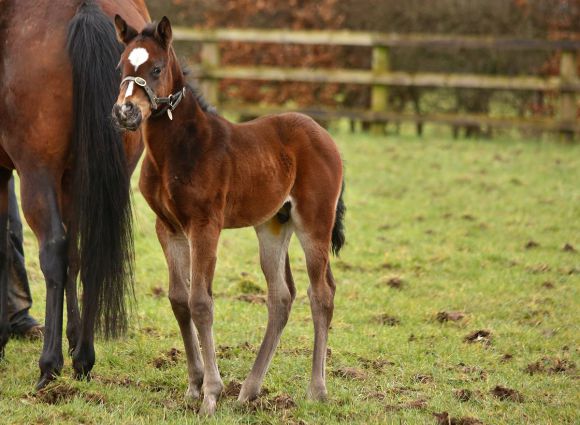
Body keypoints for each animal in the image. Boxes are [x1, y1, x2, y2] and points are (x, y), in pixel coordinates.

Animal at [112, 16, 344, 414]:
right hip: (272, 225)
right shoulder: (168, 227)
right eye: (121, 68)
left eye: (156, 69)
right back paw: (249, 390)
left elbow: (201, 302)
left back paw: (317, 390)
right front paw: (193, 385)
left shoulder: (205, 225)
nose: (125, 113)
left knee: (321, 293)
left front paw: (211, 394)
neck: (177, 150)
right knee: (281, 297)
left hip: (314, 223)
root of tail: (324, 135)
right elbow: (179, 299)